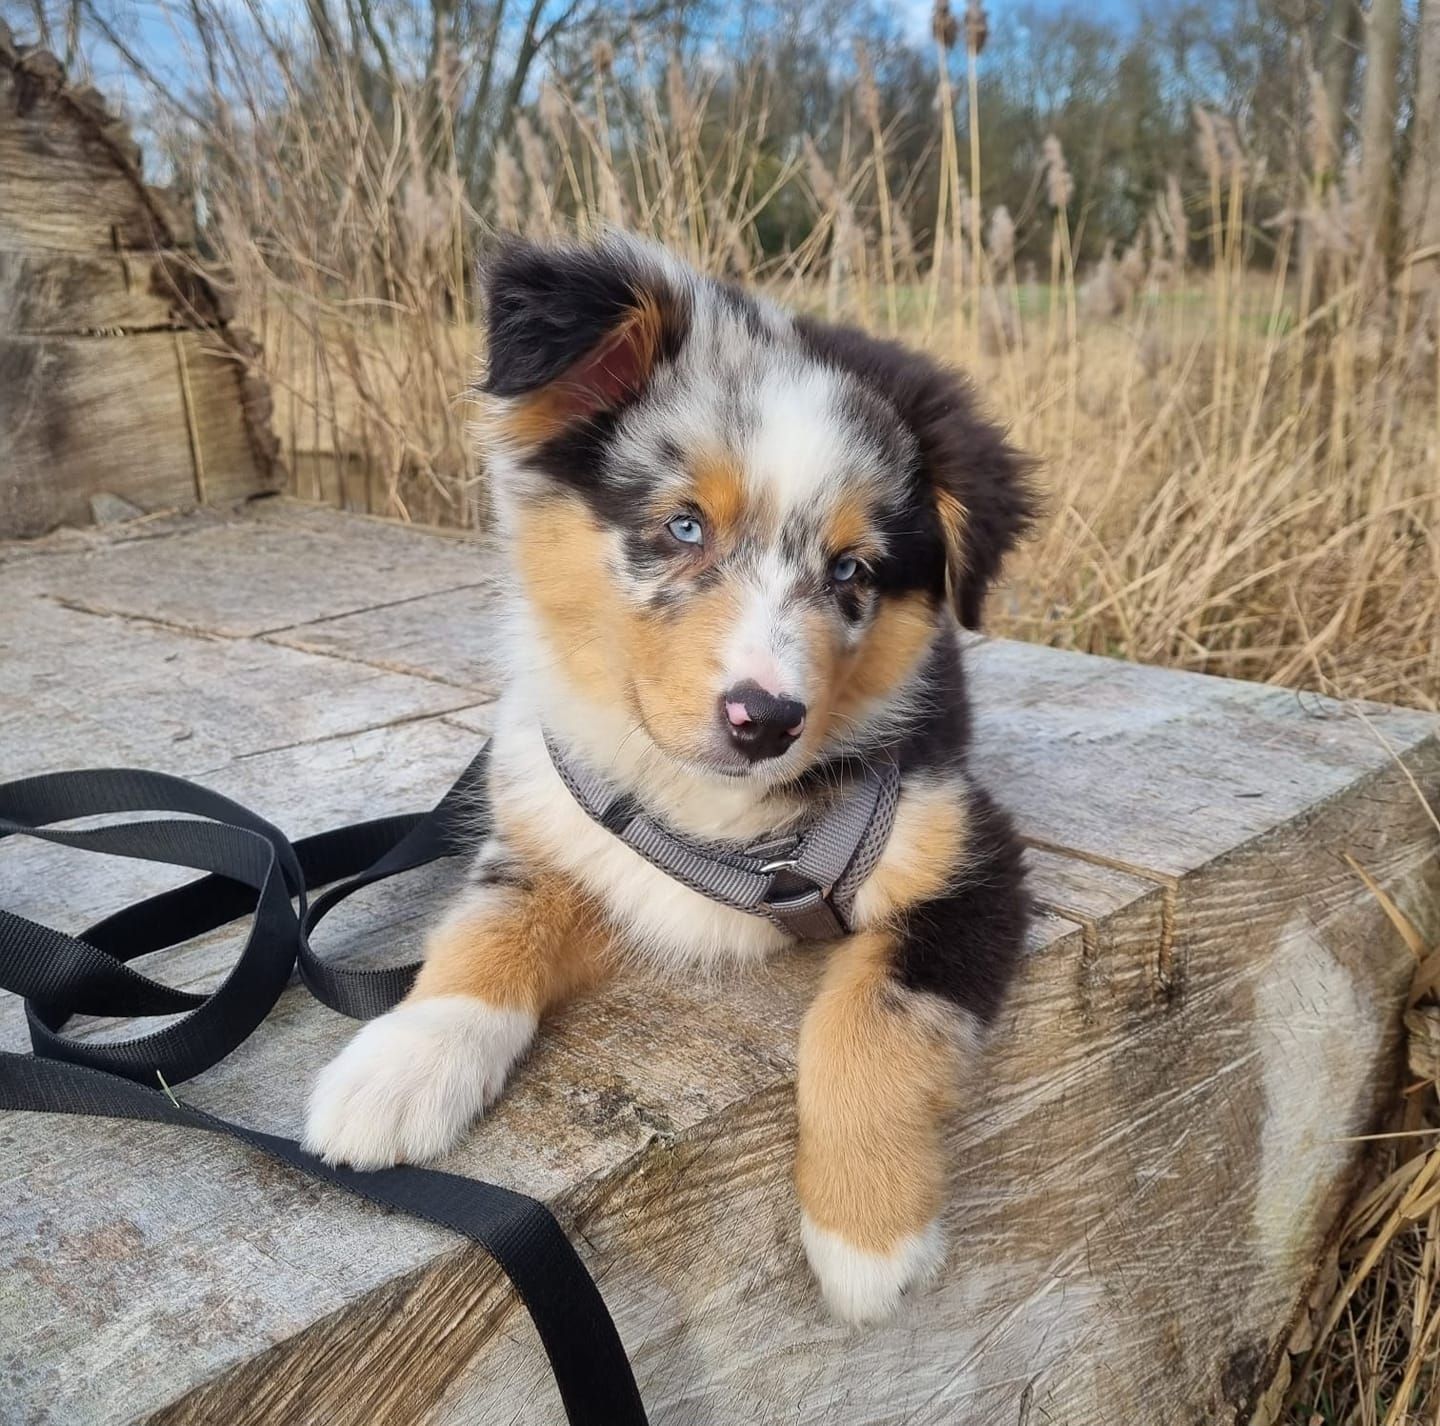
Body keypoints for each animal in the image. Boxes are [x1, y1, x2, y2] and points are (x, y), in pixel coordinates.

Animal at [309, 237, 1042, 1330]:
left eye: (854, 571)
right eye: (684, 526)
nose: (765, 720)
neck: (712, 808)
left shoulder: (968, 855)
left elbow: (867, 1018)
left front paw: (869, 1237)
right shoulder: (559, 824)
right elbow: (488, 924)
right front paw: (400, 1065)